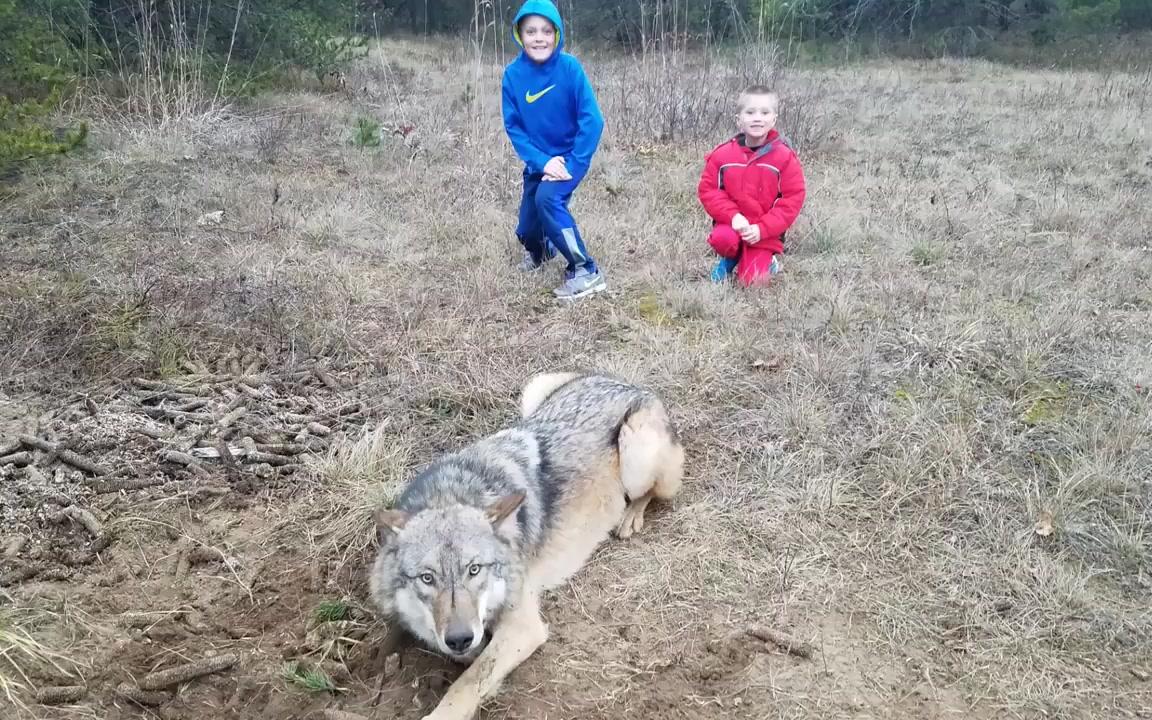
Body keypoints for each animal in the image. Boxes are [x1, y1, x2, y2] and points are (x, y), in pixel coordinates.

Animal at [366, 370, 681, 718]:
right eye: (427, 578)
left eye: (474, 570)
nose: (460, 639)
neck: (450, 494)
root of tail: (626, 383)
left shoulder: (523, 627)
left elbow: (466, 684)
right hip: (534, 390)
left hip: (636, 456)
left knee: (650, 492)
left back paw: (631, 516)